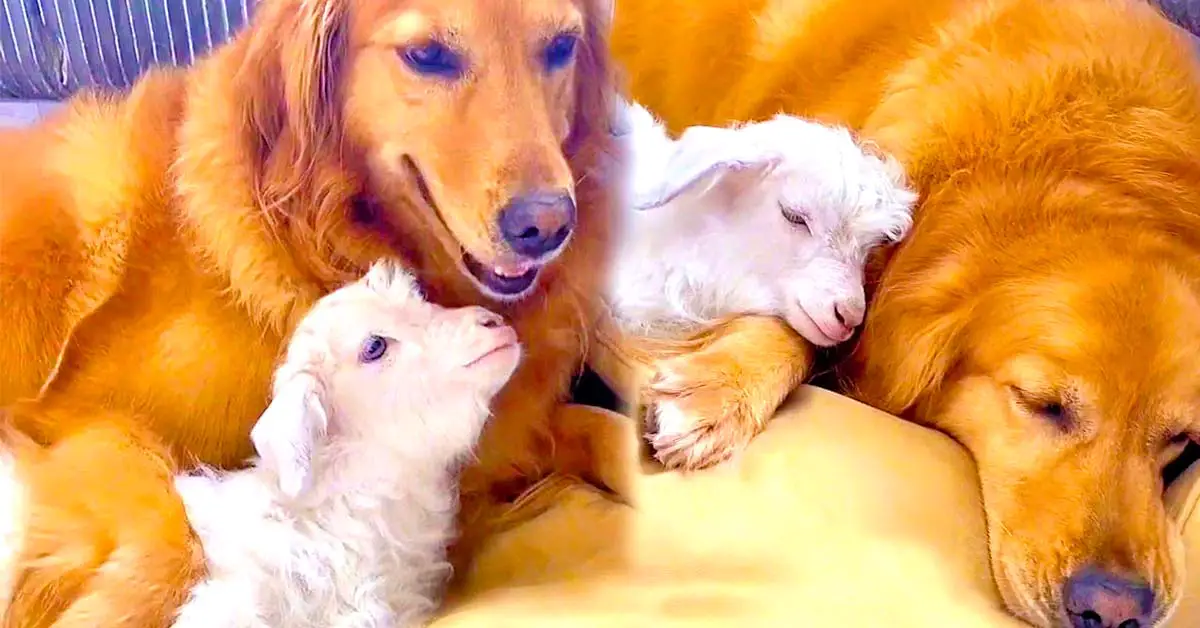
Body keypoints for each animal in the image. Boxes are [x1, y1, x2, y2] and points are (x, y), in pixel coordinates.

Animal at [0, 0, 619, 624]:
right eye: (427, 55)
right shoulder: (76, 421)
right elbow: (168, 538)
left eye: (561, 47)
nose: (548, 226)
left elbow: (596, 426)